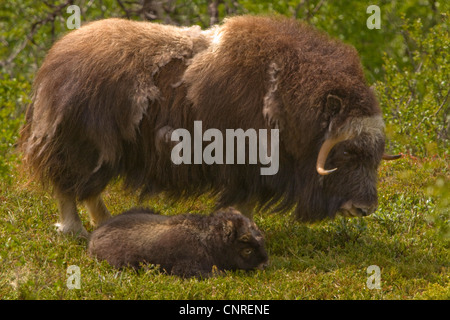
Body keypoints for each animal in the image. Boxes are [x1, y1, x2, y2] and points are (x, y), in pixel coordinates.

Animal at [20, 15, 400, 236]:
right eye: (348, 151)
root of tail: (57, 56)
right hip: (78, 145)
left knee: (88, 190)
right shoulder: (247, 165)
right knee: (68, 187)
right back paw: (74, 231)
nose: (364, 208)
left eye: (376, 154)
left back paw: (106, 223)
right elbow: (244, 201)